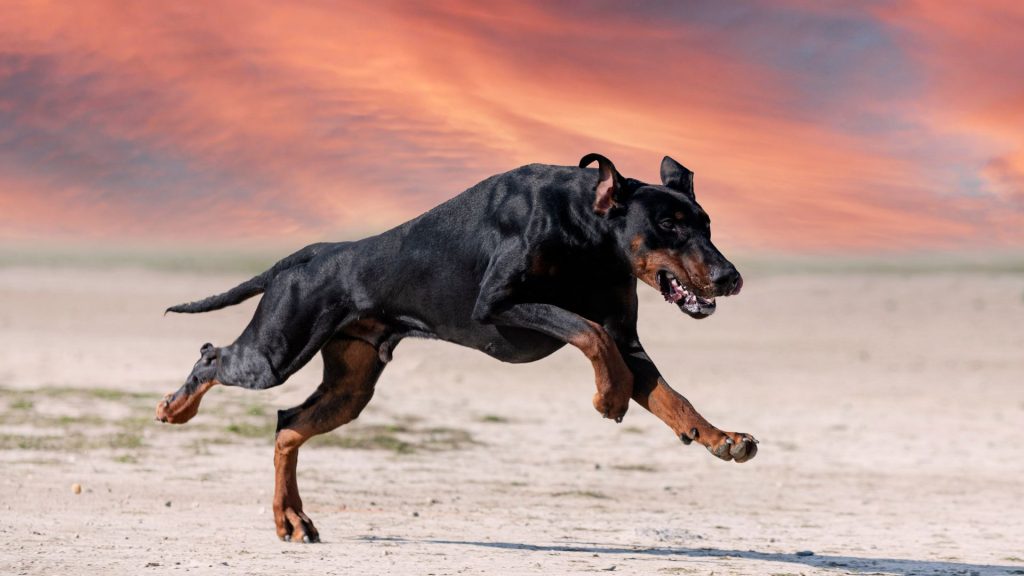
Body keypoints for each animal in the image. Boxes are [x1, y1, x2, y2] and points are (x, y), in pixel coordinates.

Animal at [157, 151, 753, 537]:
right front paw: (609, 397)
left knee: (287, 425)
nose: (730, 278)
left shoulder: (628, 338)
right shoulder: (498, 305)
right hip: (276, 352)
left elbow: (669, 395)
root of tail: (304, 255)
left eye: (705, 222)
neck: (587, 229)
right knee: (213, 356)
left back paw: (292, 519)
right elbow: (589, 333)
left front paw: (721, 438)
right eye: (668, 224)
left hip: (350, 388)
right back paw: (175, 407)